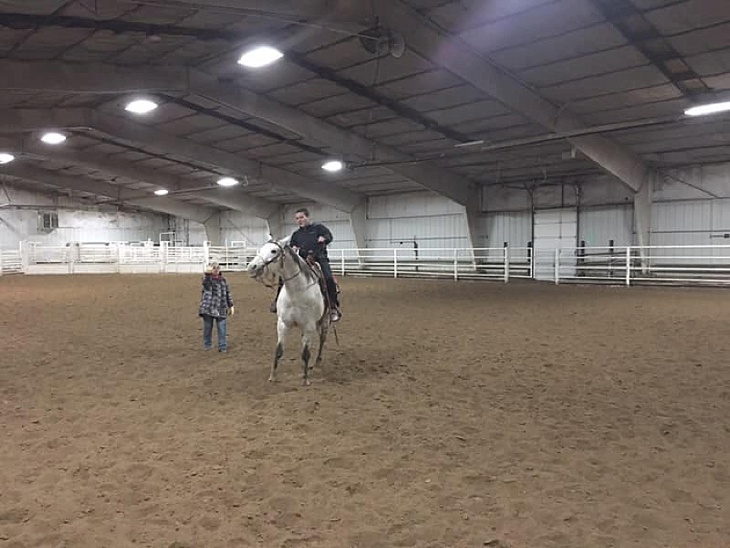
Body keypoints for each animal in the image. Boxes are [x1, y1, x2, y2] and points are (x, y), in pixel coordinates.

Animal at [246, 238, 331, 386]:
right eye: (261, 248)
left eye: (274, 251)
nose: (252, 267)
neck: (297, 292)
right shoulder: (283, 324)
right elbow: (279, 351)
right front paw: (273, 376)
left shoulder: (309, 326)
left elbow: (306, 353)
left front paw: (305, 379)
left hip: (324, 320)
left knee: (322, 339)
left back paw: (317, 363)